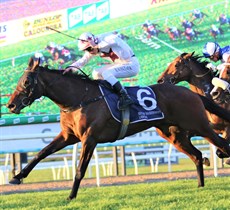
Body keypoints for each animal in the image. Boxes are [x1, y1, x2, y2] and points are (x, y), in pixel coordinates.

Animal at [5, 57, 230, 200]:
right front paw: (16, 177)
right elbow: (41, 153)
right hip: (173, 134)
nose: (11, 105)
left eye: (26, 82)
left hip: (200, 126)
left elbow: (79, 169)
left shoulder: (90, 138)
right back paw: (200, 185)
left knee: (222, 144)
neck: (80, 98)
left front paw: (71, 196)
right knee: (198, 155)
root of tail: (191, 93)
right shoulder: (68, 136)